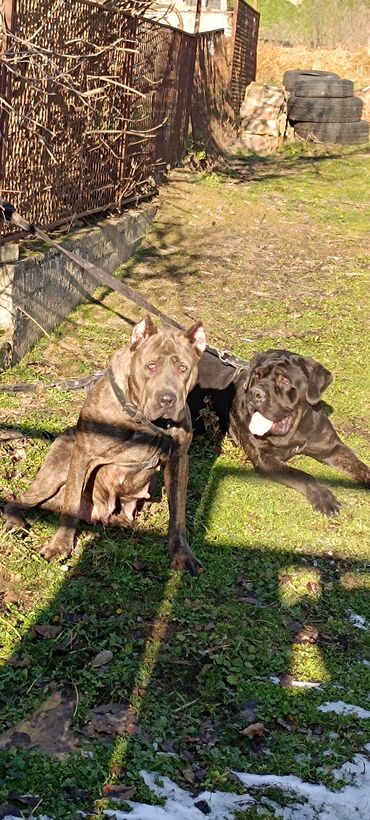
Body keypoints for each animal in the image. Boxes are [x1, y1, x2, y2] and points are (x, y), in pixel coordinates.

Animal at [5, 318, 205, 572]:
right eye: (151, 366)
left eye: (183, 368)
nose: (167, 399)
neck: (143, 419)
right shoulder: (83, 453)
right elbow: (70, 506)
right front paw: (60, 546)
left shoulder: (179, 459)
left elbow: (178, 514)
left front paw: (182, 554)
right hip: (59, 465)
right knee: (20, 501)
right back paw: (16, 521)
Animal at [189, 350, 368, 516]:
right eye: (256, 375)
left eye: (284, 380)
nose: (255, 393)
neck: (294, 431)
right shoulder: (264, 458)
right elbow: (301, 474)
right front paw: (323, 496)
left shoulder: (332, 448)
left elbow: (359, 465)